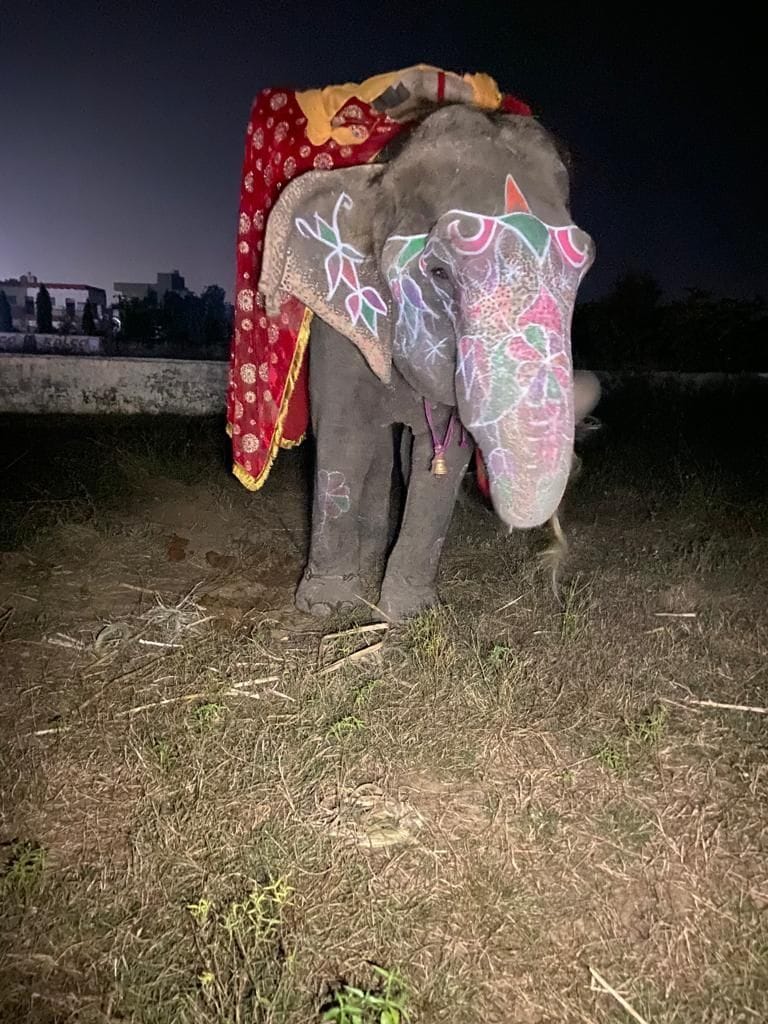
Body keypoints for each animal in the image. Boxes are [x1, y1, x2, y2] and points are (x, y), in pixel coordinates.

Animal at [259, 103, 599, 621]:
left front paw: (409, 614)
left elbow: (442, 454)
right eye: (438, 272)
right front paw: (326, 606)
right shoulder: (338, 332)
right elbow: (342, 436)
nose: (555, 561)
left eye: (581, 273)